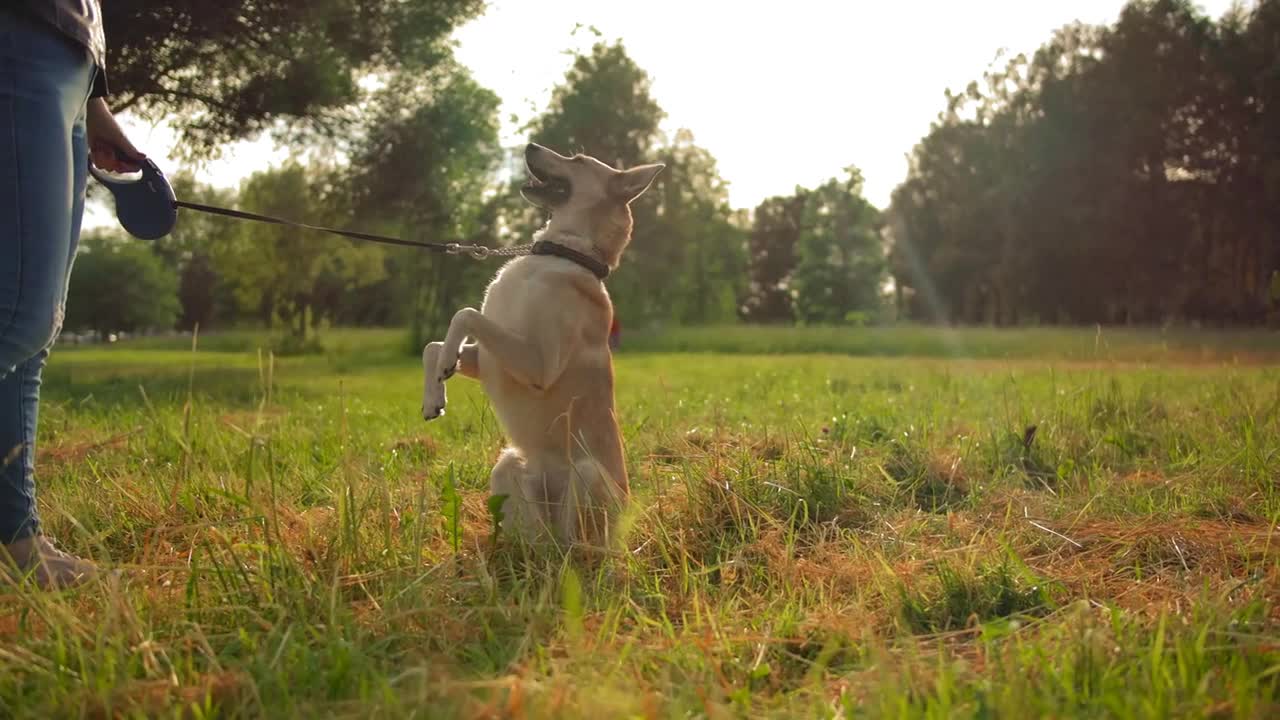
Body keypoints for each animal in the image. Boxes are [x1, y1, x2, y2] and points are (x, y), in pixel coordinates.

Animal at [422, 142, 665, 545]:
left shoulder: (538, 365)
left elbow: (465, 314)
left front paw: (444, 367)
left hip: (586, 473)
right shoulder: (489, 358)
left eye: (578, 160)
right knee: (539, 542)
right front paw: (434, 395)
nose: (530, 145)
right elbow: (433, 345)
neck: (562, 253)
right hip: (508, 467)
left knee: (574, 544)